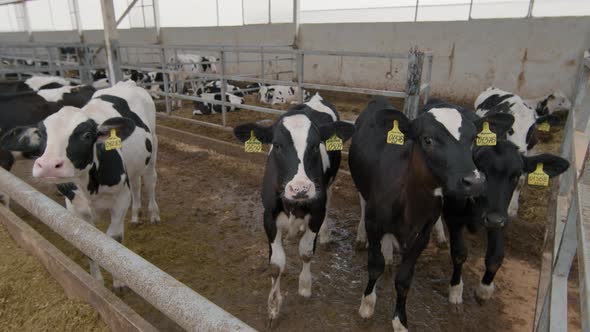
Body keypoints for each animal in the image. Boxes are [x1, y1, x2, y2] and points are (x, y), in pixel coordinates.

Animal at [232, 92, 354, 320]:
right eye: (277, 145)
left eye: (315, 145)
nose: (300, 189)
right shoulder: (268, 216)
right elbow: (276, 264)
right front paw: (273, 306)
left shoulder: (317, 211)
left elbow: (306, 252)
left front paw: (305, 287)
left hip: (329, 186)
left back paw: (324, 236)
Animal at [352, 97, 520, 330]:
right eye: (428, 140)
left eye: (473, 140)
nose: (475, 182)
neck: (410, 202)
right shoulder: (374, 223)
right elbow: (375, 266)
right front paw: (367, 305)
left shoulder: (422, 233)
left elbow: (404, 279)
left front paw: (400, 320)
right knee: (362, 203)